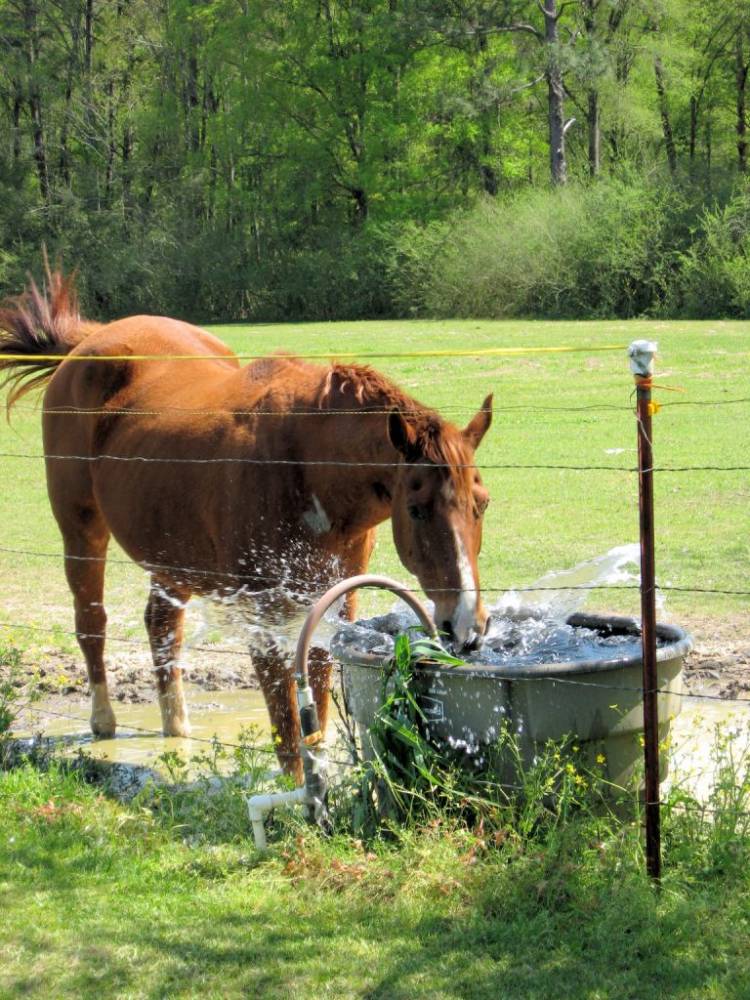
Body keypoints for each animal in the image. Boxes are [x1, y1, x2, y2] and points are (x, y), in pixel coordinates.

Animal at [0, 268, 496, 780]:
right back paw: (103, 721)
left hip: (170, 553)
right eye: (417, 509)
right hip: (82, 531)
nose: (467, 624)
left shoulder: (337, 598)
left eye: (482, 504)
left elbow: (317, 706)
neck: (305, 469)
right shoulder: (263, 612)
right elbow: (288, 727)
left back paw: (177, 728)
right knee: (91, 622)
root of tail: (89, 341)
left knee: (161, 625)